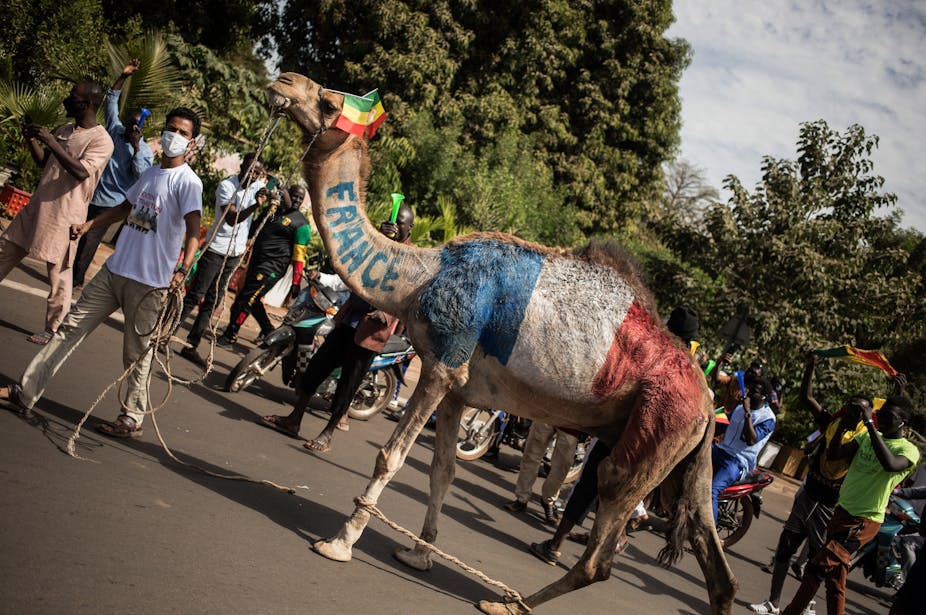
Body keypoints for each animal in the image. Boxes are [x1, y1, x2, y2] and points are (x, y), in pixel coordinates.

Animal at [268, 73, 740, 615]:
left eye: (328, 102)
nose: (285, 80)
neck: (417, 278)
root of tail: (708, 398)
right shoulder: (460, 387)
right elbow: (443, 470)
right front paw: (418, 555)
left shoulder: (443, 363)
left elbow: (392, 456)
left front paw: (340, 541)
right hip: (688, 454)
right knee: (713, 556)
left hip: (655, 431)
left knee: (602, 548)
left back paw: (509, 603)